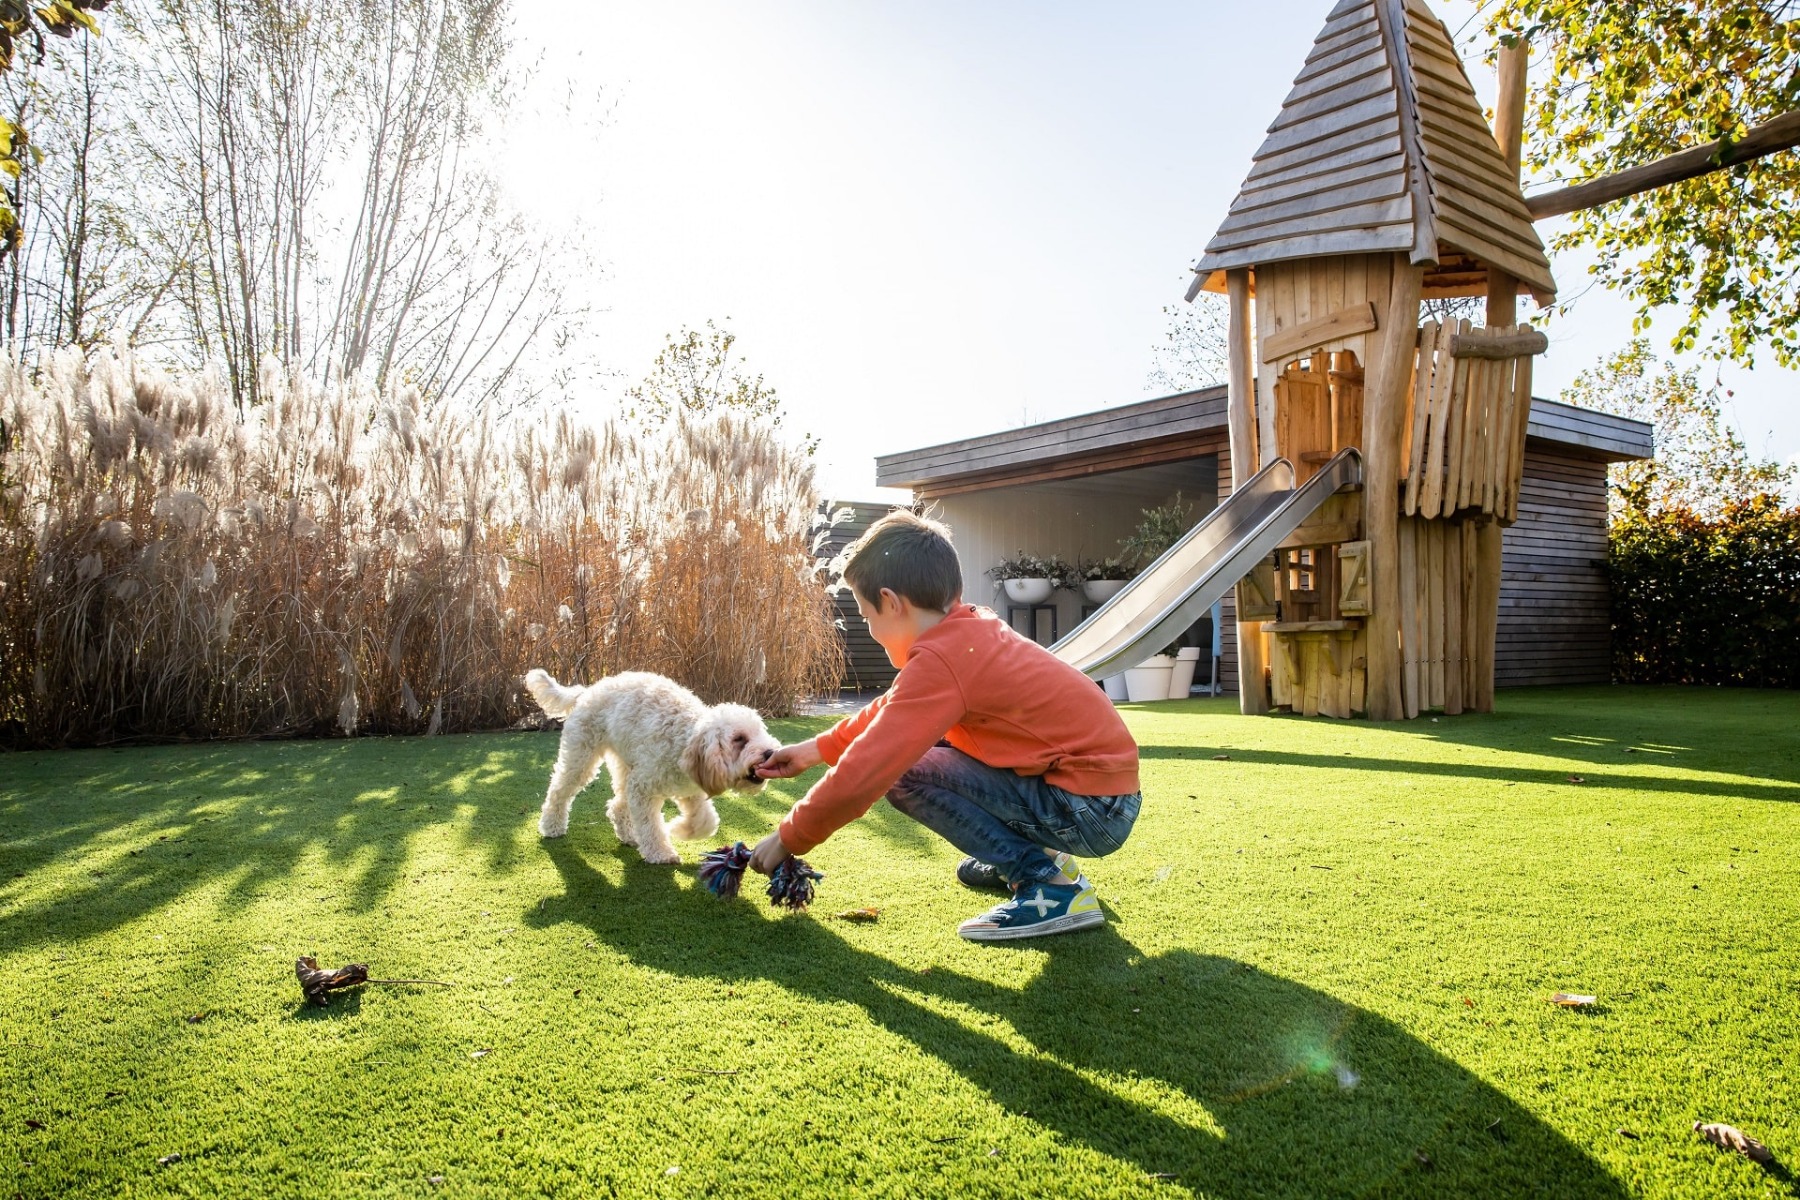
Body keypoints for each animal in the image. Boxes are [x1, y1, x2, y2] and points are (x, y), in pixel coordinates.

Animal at [518, 665, 777, 863]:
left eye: (761, 732)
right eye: (739, 739)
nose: (770, 752)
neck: (684, 741)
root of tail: (587, 691)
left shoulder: (690, 790)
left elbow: (706, 822)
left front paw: (679, 828)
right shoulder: (643, 787)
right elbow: (650, 825)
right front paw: (661, 852)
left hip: (625, 765)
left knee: (617, 805)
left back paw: (628, 835)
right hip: (581, 758)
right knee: (559, 791)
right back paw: (552, 826)